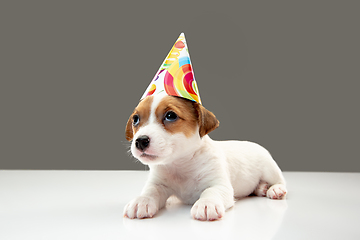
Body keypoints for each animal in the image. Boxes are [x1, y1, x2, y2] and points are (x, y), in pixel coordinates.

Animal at [124, 93, 286, 220]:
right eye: (135, 119)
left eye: (170, 116)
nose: (140, 141)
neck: (181, 164)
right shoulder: (158, 184)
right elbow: (150, 191)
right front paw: (141, 201)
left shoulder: (220, 185)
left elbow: (210, 191)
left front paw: (207, 203)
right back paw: (261, 188)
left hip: (270, 169)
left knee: (280, 181)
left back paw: (274, 189)